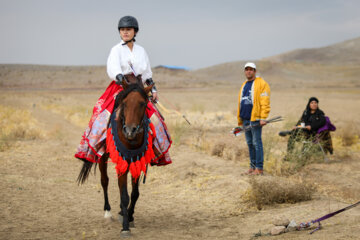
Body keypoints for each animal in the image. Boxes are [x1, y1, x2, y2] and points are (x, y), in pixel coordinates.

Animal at [77, 74, 153, 236]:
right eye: (124, 103)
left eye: (143, 103)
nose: (130, 130)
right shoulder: (122, 162)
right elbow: (124, 195)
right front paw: (125, 227)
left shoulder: (136, 162)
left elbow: (134, 193)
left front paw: (129, 216)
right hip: (102, 157)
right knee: (104, 181)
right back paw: (108, 212)